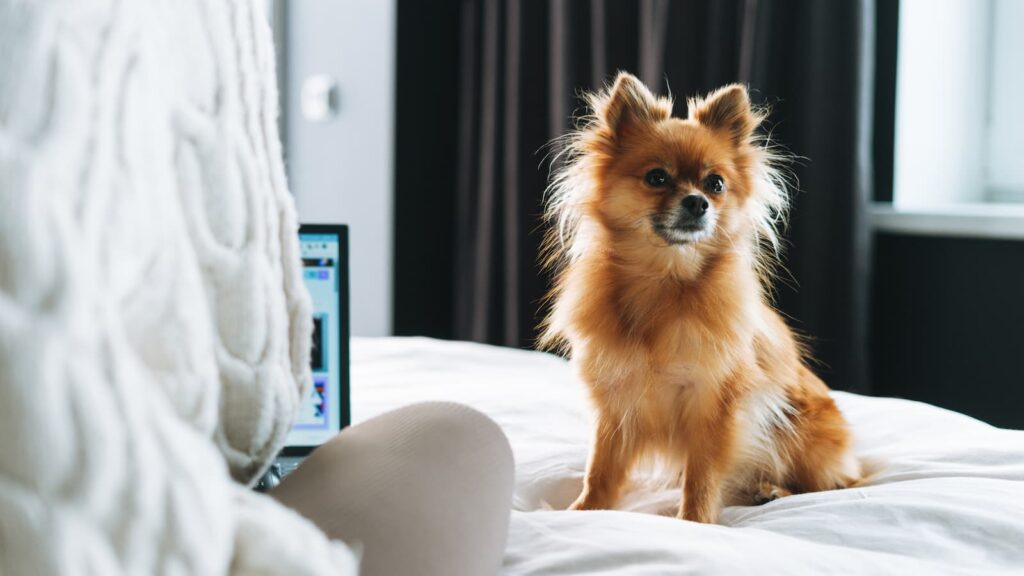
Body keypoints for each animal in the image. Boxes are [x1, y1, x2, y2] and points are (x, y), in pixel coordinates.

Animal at [540, 70, 860, 520]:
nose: (698, 202)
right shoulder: (616, 402)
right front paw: (585, 511)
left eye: (716, 184)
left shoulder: (715, 406)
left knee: (835, 483)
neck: (664, 282)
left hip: (805, 433)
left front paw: (695, 521)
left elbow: (703, 477)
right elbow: (600, 467)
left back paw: (774, 490)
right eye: (657, 178)